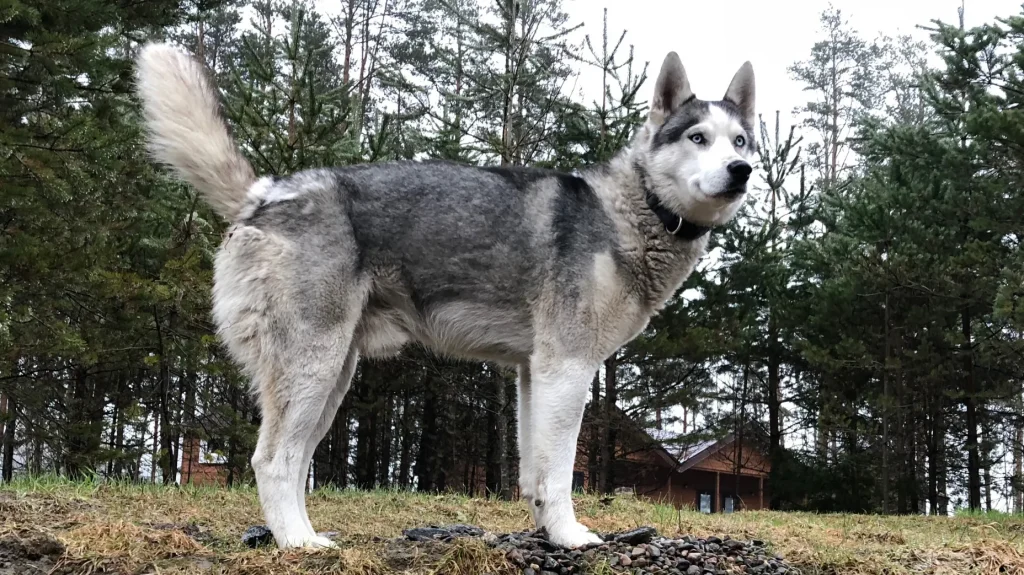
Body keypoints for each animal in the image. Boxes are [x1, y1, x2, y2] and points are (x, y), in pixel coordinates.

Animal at [136, 41, 757, 544]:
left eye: (741, 141)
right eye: (698, 138)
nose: (742, 169)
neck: (635, 211)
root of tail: (266, 194)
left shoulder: (534, 374)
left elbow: (533, 472)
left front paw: (544, 532)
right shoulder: (567, 367)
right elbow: (559, 472)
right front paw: (570, 537)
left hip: (332, 378)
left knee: (294, 462)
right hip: (313, 367)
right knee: (272, 460)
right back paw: (298, 544)